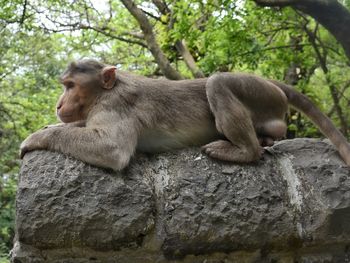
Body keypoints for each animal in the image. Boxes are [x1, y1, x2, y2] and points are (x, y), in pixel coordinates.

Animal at [19, 59, 350, 171]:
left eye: (71, 86)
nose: (59, 104)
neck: (102, 92)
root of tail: (272, 83)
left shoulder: (113, 106)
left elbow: (112, 148)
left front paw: (37, 137)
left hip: (259, 93)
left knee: (217, 82)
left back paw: (245, 151)